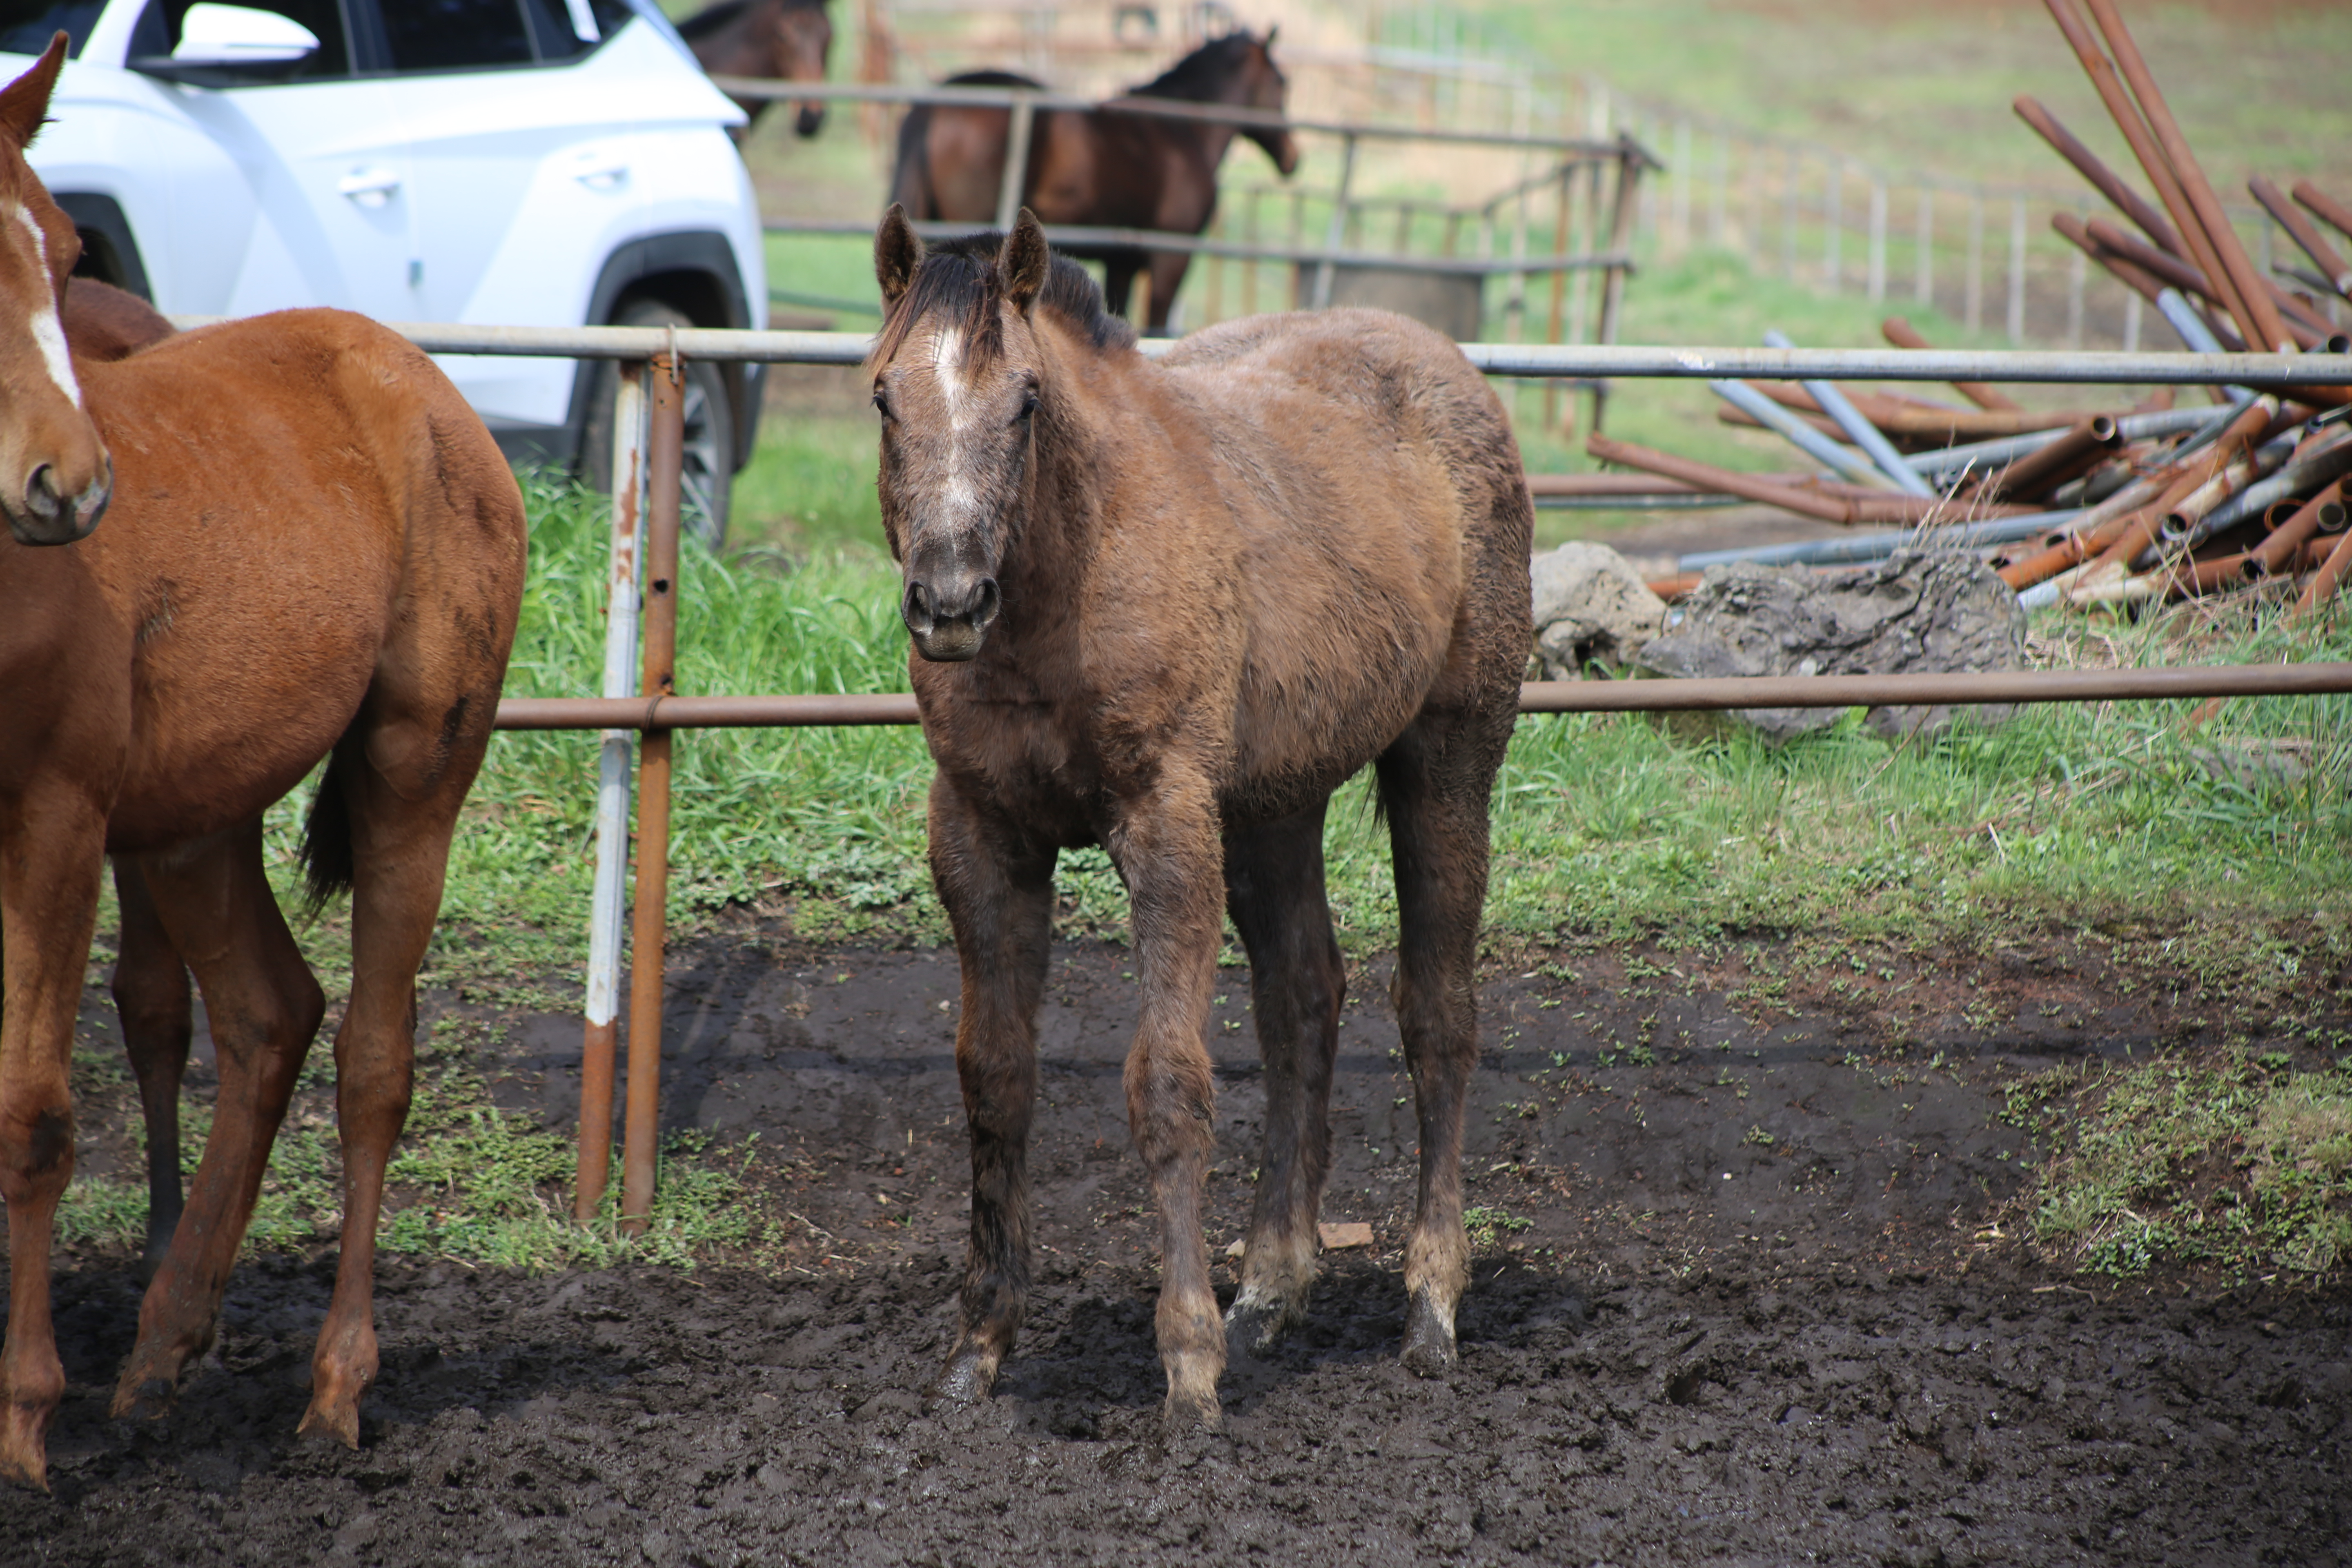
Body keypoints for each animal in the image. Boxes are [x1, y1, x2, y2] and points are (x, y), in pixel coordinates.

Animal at [0, 31, 524, 1495]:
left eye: (67, 248)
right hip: (193, 823)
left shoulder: (54, 827)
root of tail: (414, 380)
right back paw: (165, 1340)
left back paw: (334, 1387)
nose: (69, 486)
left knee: (371, 1063)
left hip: (413, 783)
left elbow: (34, 1114)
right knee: (266, 1014)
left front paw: (22, 1420)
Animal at [875, 212, 1533, 1439]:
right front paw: (977, 1351)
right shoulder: (980, 834)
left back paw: (1428, 1308)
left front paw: (1186, 1370)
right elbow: (994, 1076)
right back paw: (1270, 1291)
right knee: (1302, 999)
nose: (948, 601)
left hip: (1447, 759)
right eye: (887, 396)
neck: (1063, 587)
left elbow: (1169, 1083)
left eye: (1024, 400)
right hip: (1276, 803)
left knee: (1437, 1014)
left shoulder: (1166, 822)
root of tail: (1442, 361)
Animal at [884, 31, 1307, 334]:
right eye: (1281, 82)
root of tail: (936, 103)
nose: (1293, 159)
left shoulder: (1123, 263)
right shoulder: (1170, 258)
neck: (1183, 129)